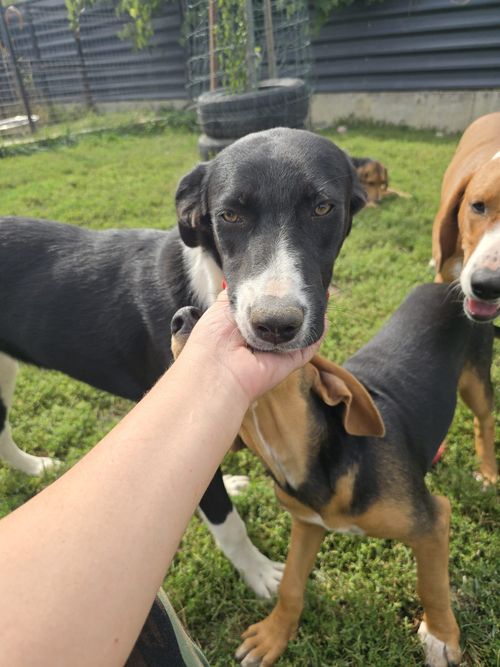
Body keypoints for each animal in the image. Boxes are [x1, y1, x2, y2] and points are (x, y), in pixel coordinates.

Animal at [171, 282, 494, 666]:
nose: (182, 316)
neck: (305, 463)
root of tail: (443, 284)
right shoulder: (307, 524)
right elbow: (291, 584)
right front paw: (273, 634)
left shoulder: (432, 521)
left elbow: (431, 584)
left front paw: (441, 636)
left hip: (476, 380)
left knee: (484, 420)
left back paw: (488, 473)